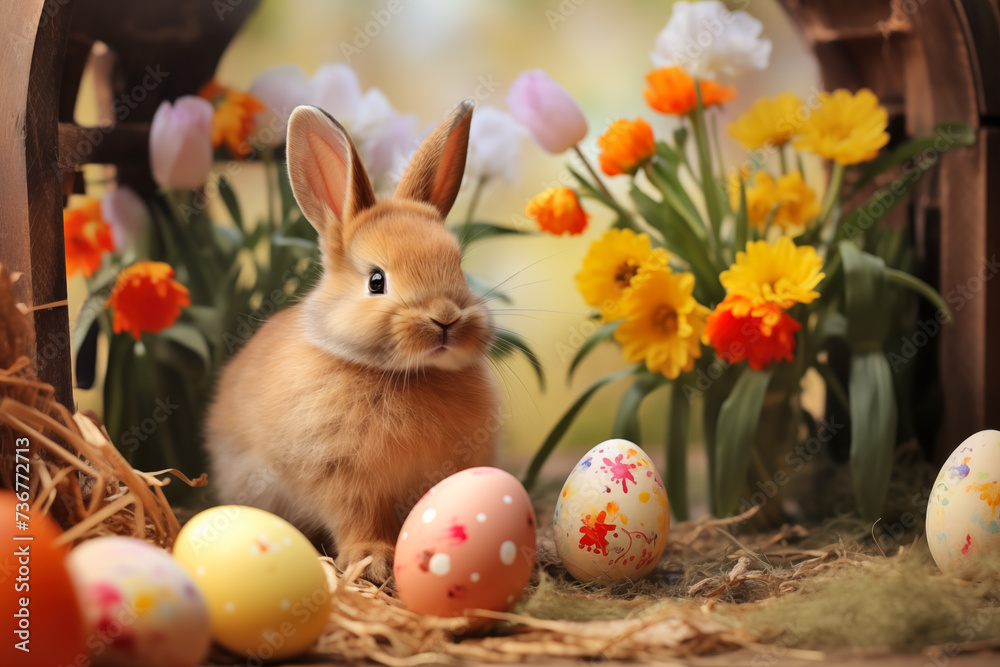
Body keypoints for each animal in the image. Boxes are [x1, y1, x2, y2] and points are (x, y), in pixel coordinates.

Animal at [205, 100, 499, 583]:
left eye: (458, 266)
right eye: (376, 281)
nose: (446, 319)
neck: (406, 374)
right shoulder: (343, 479)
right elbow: (359, 518)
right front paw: (373, 561)